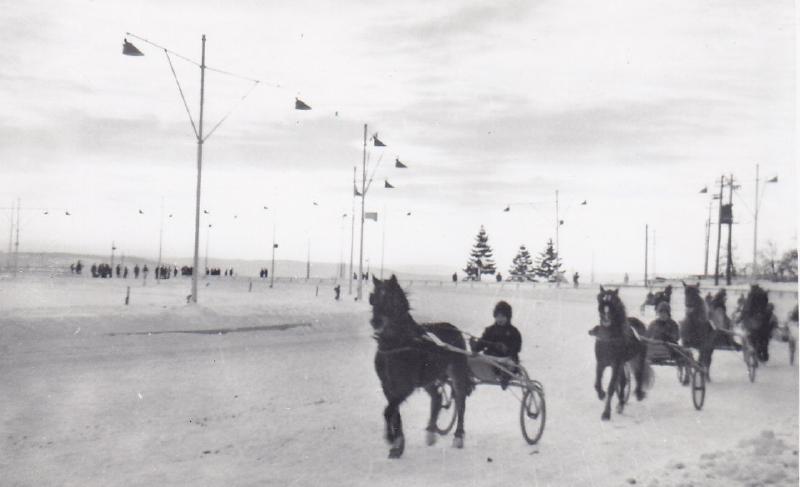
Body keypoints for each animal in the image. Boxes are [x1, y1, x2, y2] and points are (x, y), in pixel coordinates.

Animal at [369, 275, 473, 458]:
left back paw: (458, 437)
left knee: (461, 403)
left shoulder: (406, 387)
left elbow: (388, 411)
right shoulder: (387, 386)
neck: (397, 344)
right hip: (428, 380)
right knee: (437, 398)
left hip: (457, 374)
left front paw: (390, 437)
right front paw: (398, 444)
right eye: (372, 298)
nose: (376, 322)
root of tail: (453, 328)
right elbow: (394, 413)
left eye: (391, 299)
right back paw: (431, 432)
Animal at [593, 286, 649, 420]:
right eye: (600, 300)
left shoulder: (616, 364)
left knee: (638, 375)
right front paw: (601, 394)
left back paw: (637, 394)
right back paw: (621, 403)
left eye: (614, 302)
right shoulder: (601, 363)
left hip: (638, 358)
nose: (606, 320)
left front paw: (606, 413)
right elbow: (597, 383)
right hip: (622, 364)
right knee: (623, 381)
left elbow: (611, 387)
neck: (609, 339)